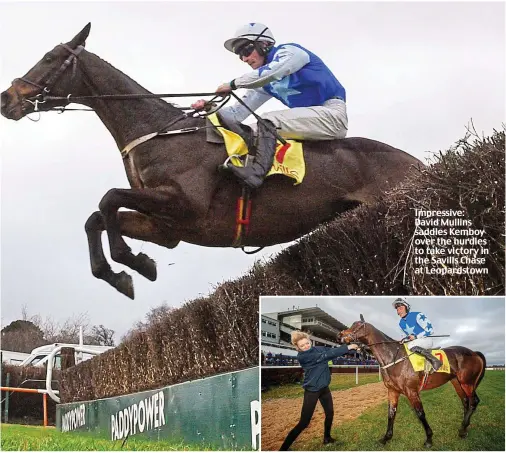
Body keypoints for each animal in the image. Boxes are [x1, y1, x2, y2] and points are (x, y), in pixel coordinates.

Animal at [0, 25, 422, 300]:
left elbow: (107, 199)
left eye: (50, 57)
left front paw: (128, 261)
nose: (7, 98)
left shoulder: (186, 206)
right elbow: (96, 218)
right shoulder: (167, 226)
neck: (161, 133)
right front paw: (125, 272)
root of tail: (417, 161)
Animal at [336, 316, 486, 446]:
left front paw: (429, 438)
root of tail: (474, 353)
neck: (393, 358)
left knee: (473, 401)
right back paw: (464, 428)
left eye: (358, 325)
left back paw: (462, 428)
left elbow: (420, 413)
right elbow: (391, 413)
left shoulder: (411, 391)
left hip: (467, 382)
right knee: (465, 402)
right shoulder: (392, 391)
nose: (339, 335)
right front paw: (386, 438)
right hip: (457, 382)